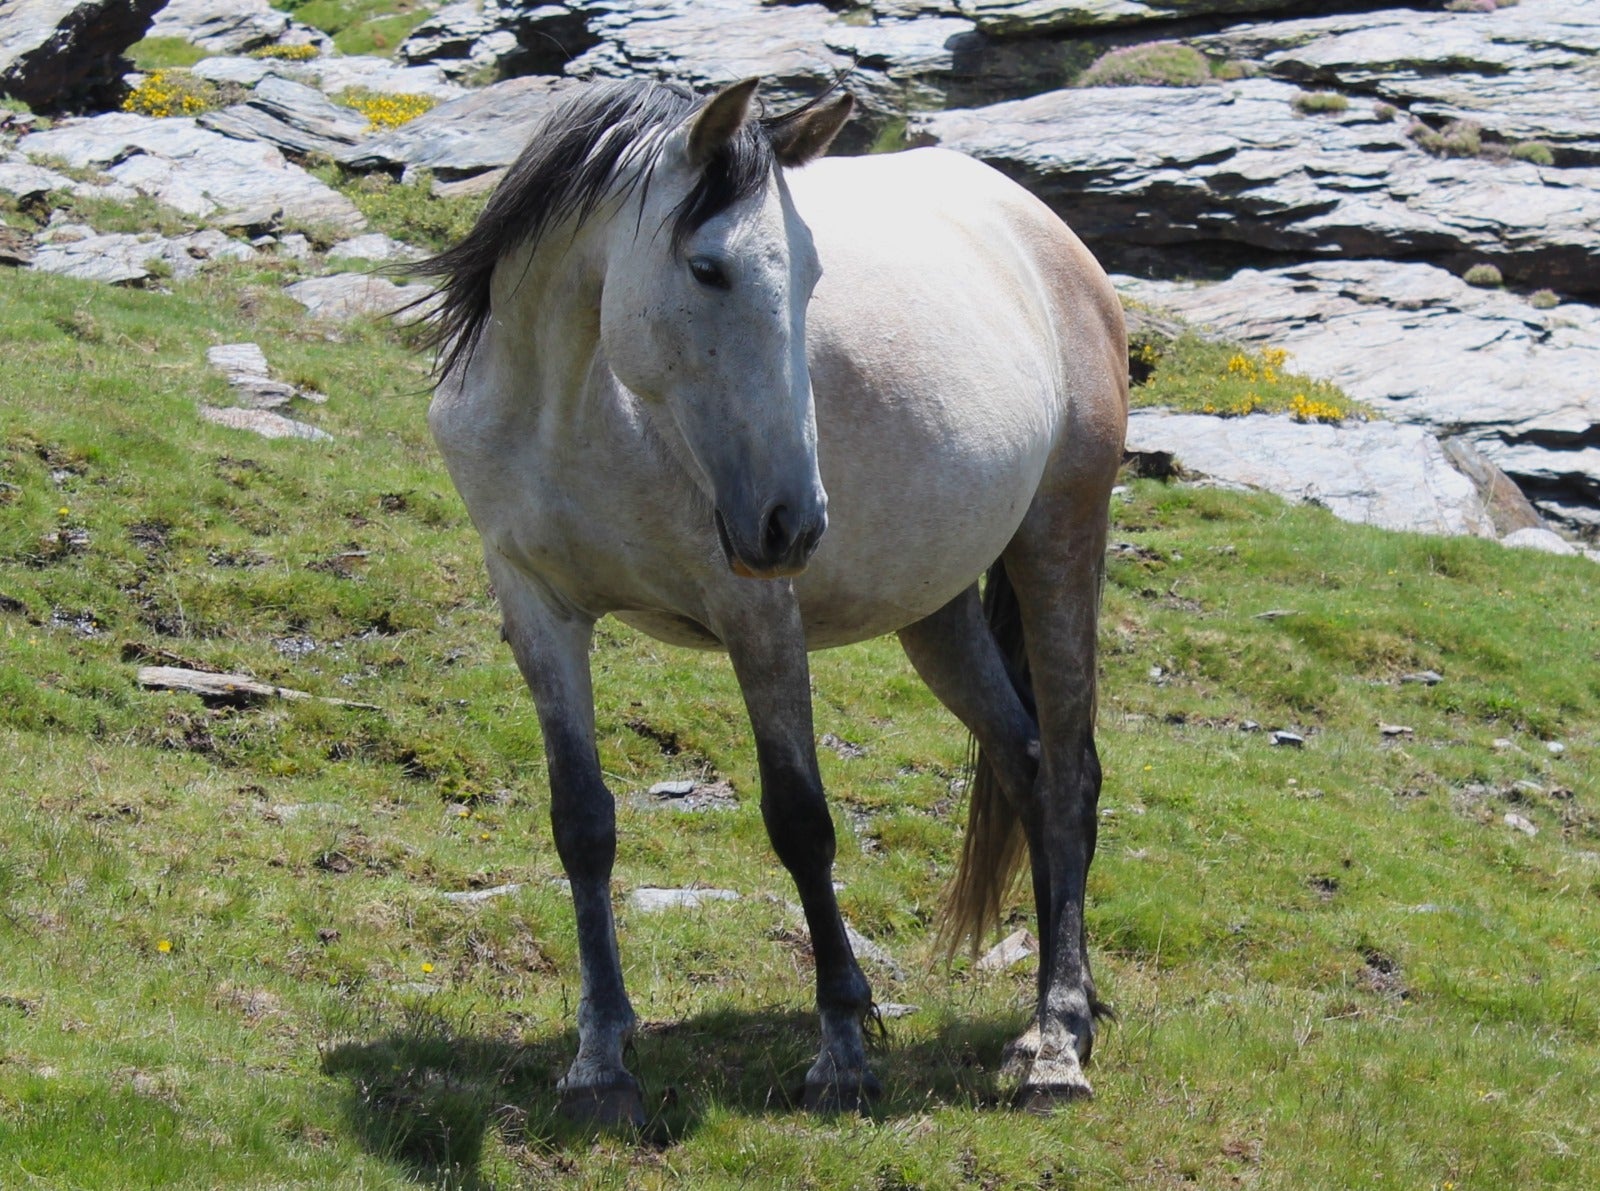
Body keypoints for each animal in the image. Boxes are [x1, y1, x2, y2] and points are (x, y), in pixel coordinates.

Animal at [415, 76, 1128, 1124]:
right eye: (708, 269)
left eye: (811, 275)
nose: (795, 521)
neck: (578, 409)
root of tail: (1047, 233)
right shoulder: (536, 605)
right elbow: (582, 822)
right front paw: (600, 1061)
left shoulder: (757, 613)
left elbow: (800, 820)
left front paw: (843, 1049)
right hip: (938, 610)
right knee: (1028, 764)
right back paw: (1053, 1014)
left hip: (1058, 545)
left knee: (1072, 776)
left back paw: (1057, 1046)